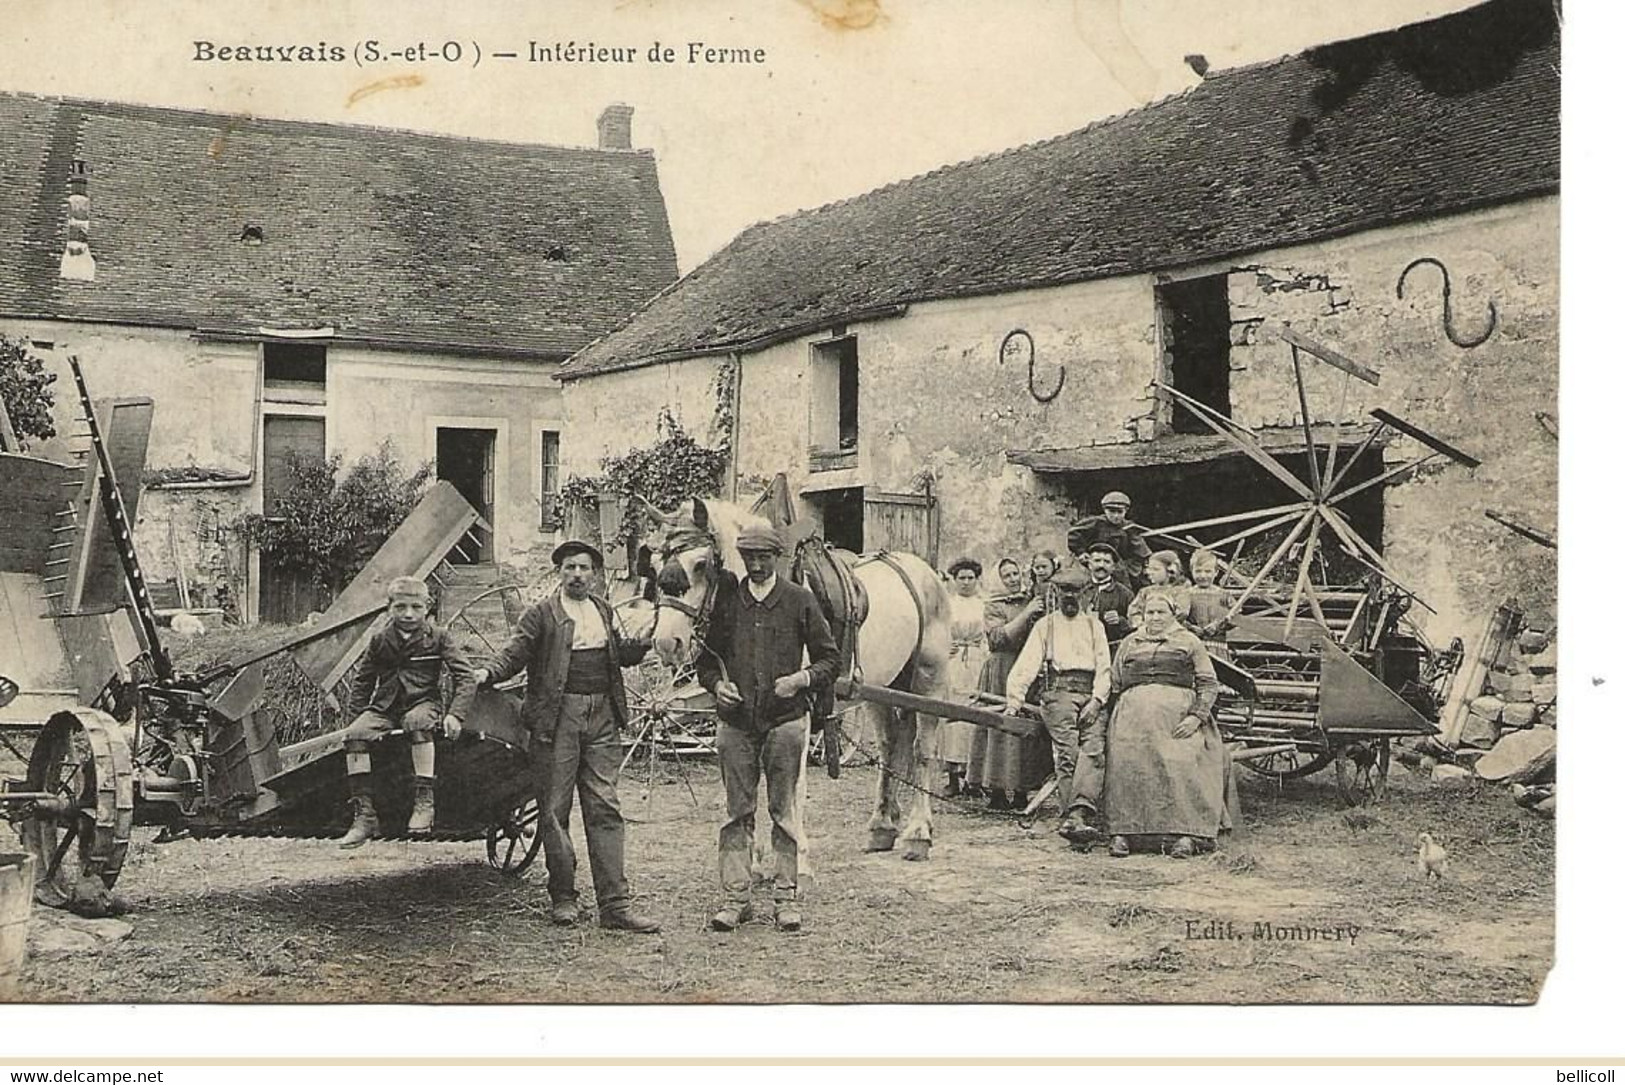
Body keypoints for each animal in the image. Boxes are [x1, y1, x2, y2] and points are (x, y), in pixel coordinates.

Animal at [643, 497, 955, 857]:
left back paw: (918, 833)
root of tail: (927, 574)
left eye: (700, 563)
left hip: (928, 682)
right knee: (890, 747)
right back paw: (882, 826)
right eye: (653, 564)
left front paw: (794, 848)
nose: (667, 642)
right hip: (883, 687)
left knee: (921, 751)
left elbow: (791, 781)